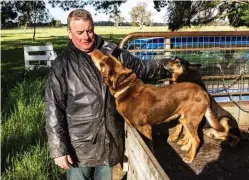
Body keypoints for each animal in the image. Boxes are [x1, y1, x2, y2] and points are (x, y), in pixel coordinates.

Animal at [89, 48, 230, 163]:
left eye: (103, 63)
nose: (94, 49)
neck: (126, 88)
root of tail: (203, 91)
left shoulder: (145, 128)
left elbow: (150, 147)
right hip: (186, 118)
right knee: (191, 135)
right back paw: (186, 146)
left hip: (191, 119)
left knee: (197, 139)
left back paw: (190, 157)